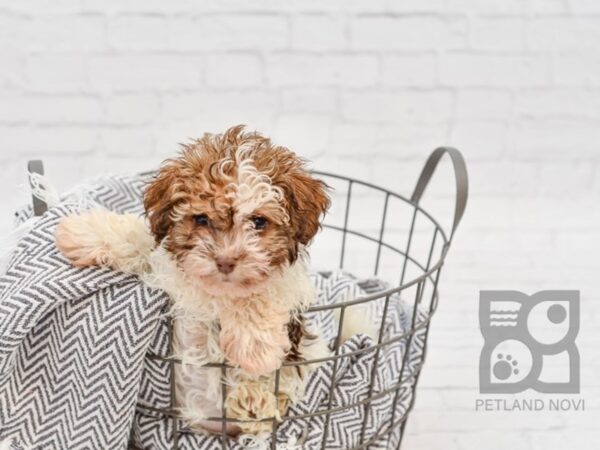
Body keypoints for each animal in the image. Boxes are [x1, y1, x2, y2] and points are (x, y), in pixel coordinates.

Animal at [54, 125, 330, 436]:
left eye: (259, 222)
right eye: (201, 219)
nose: (225, 261)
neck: (213, 294)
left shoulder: (286, 291)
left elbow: (256, 294)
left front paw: (255, 348)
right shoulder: (164, 271)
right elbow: (138, 239)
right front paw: (79, 231)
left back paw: (252, 401)